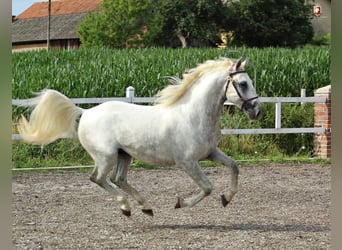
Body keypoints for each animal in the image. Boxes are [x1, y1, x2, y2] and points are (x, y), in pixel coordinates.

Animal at [18, 57, 262, 217]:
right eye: (243, 84)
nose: (257, 111)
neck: (193, 115)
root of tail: (85, 112)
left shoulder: (211, 153)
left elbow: (234, 167)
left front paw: (226, 198)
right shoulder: (187, 162)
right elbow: (207, 186)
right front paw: (180, 203)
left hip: (124, 155)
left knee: (118, 179)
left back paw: (146, 207)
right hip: (106, 156)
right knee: (98, 179)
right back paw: (126, 208)